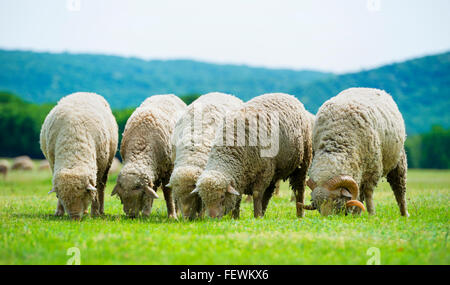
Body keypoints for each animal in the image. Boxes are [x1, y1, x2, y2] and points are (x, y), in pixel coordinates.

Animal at [300, 86, 410, 215]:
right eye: (317, 206)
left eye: (336, 201)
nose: (328, 218)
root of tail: (367, 88)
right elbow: (358, 195)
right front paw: (356, 214)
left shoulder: (372, 171)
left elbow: (368, 194)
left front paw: (371, 214)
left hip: (398, 160)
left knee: (399, 190)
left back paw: (404, 214)